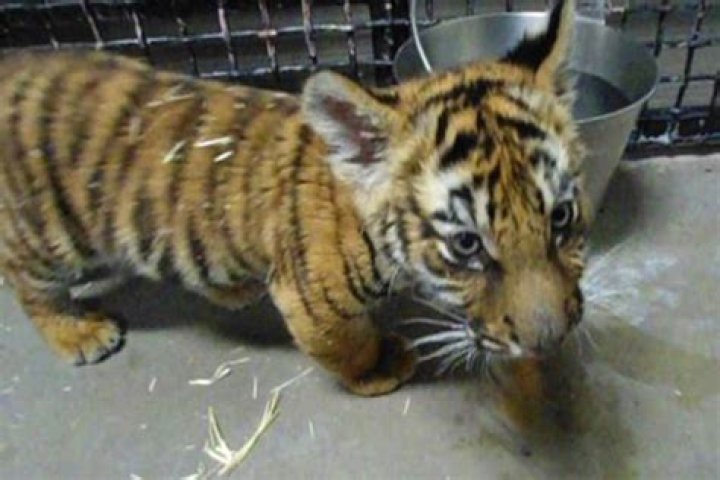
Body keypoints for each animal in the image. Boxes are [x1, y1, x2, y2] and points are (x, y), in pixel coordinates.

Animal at [0, 0, 587, 396]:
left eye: (560, 217)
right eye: (466, 245)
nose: (550, 342)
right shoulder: (309, 301)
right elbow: (345, 343)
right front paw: (378, 370)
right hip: (45, 237)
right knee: (27, 284)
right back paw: (79, 334)